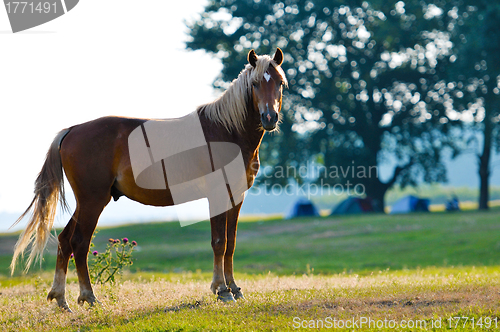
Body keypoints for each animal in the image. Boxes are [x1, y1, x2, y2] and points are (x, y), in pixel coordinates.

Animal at [9, 47, 288, 312]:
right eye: (255, 83)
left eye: (280, 82)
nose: (269, 118)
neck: (227, 132)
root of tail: (72, 130)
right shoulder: (218, 195)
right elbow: (219, 243)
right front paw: (221, 290)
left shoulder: (236, 197)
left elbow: (230, 244)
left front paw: (234, 288)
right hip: (92, 201)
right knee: (79, 243)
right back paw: (89, 297)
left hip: (86, 203)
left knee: (65, 241)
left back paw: (61, 299)